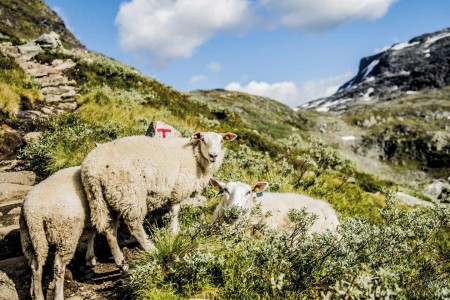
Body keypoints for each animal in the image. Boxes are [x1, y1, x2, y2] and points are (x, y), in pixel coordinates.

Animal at [20, 166, 96, 300]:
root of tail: (32, 212)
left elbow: (91, 235)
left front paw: (90, 258)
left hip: (31, 237)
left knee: (35, 267)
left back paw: (37, 294)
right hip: (66, 235)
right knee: (58, 267)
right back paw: (59, 295)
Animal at [81, 131, 237, 270]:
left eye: (221, 141)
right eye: (203, 139)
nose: (213, 155)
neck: (194, 156)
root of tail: (92, 171)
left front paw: (175, 229)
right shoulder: (178, 188)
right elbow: (175, 210)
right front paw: (173, 231)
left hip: (104, 199)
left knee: (108, 230)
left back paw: (118, 261)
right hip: (130, 195)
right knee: (134, 226)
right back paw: (151, 249)